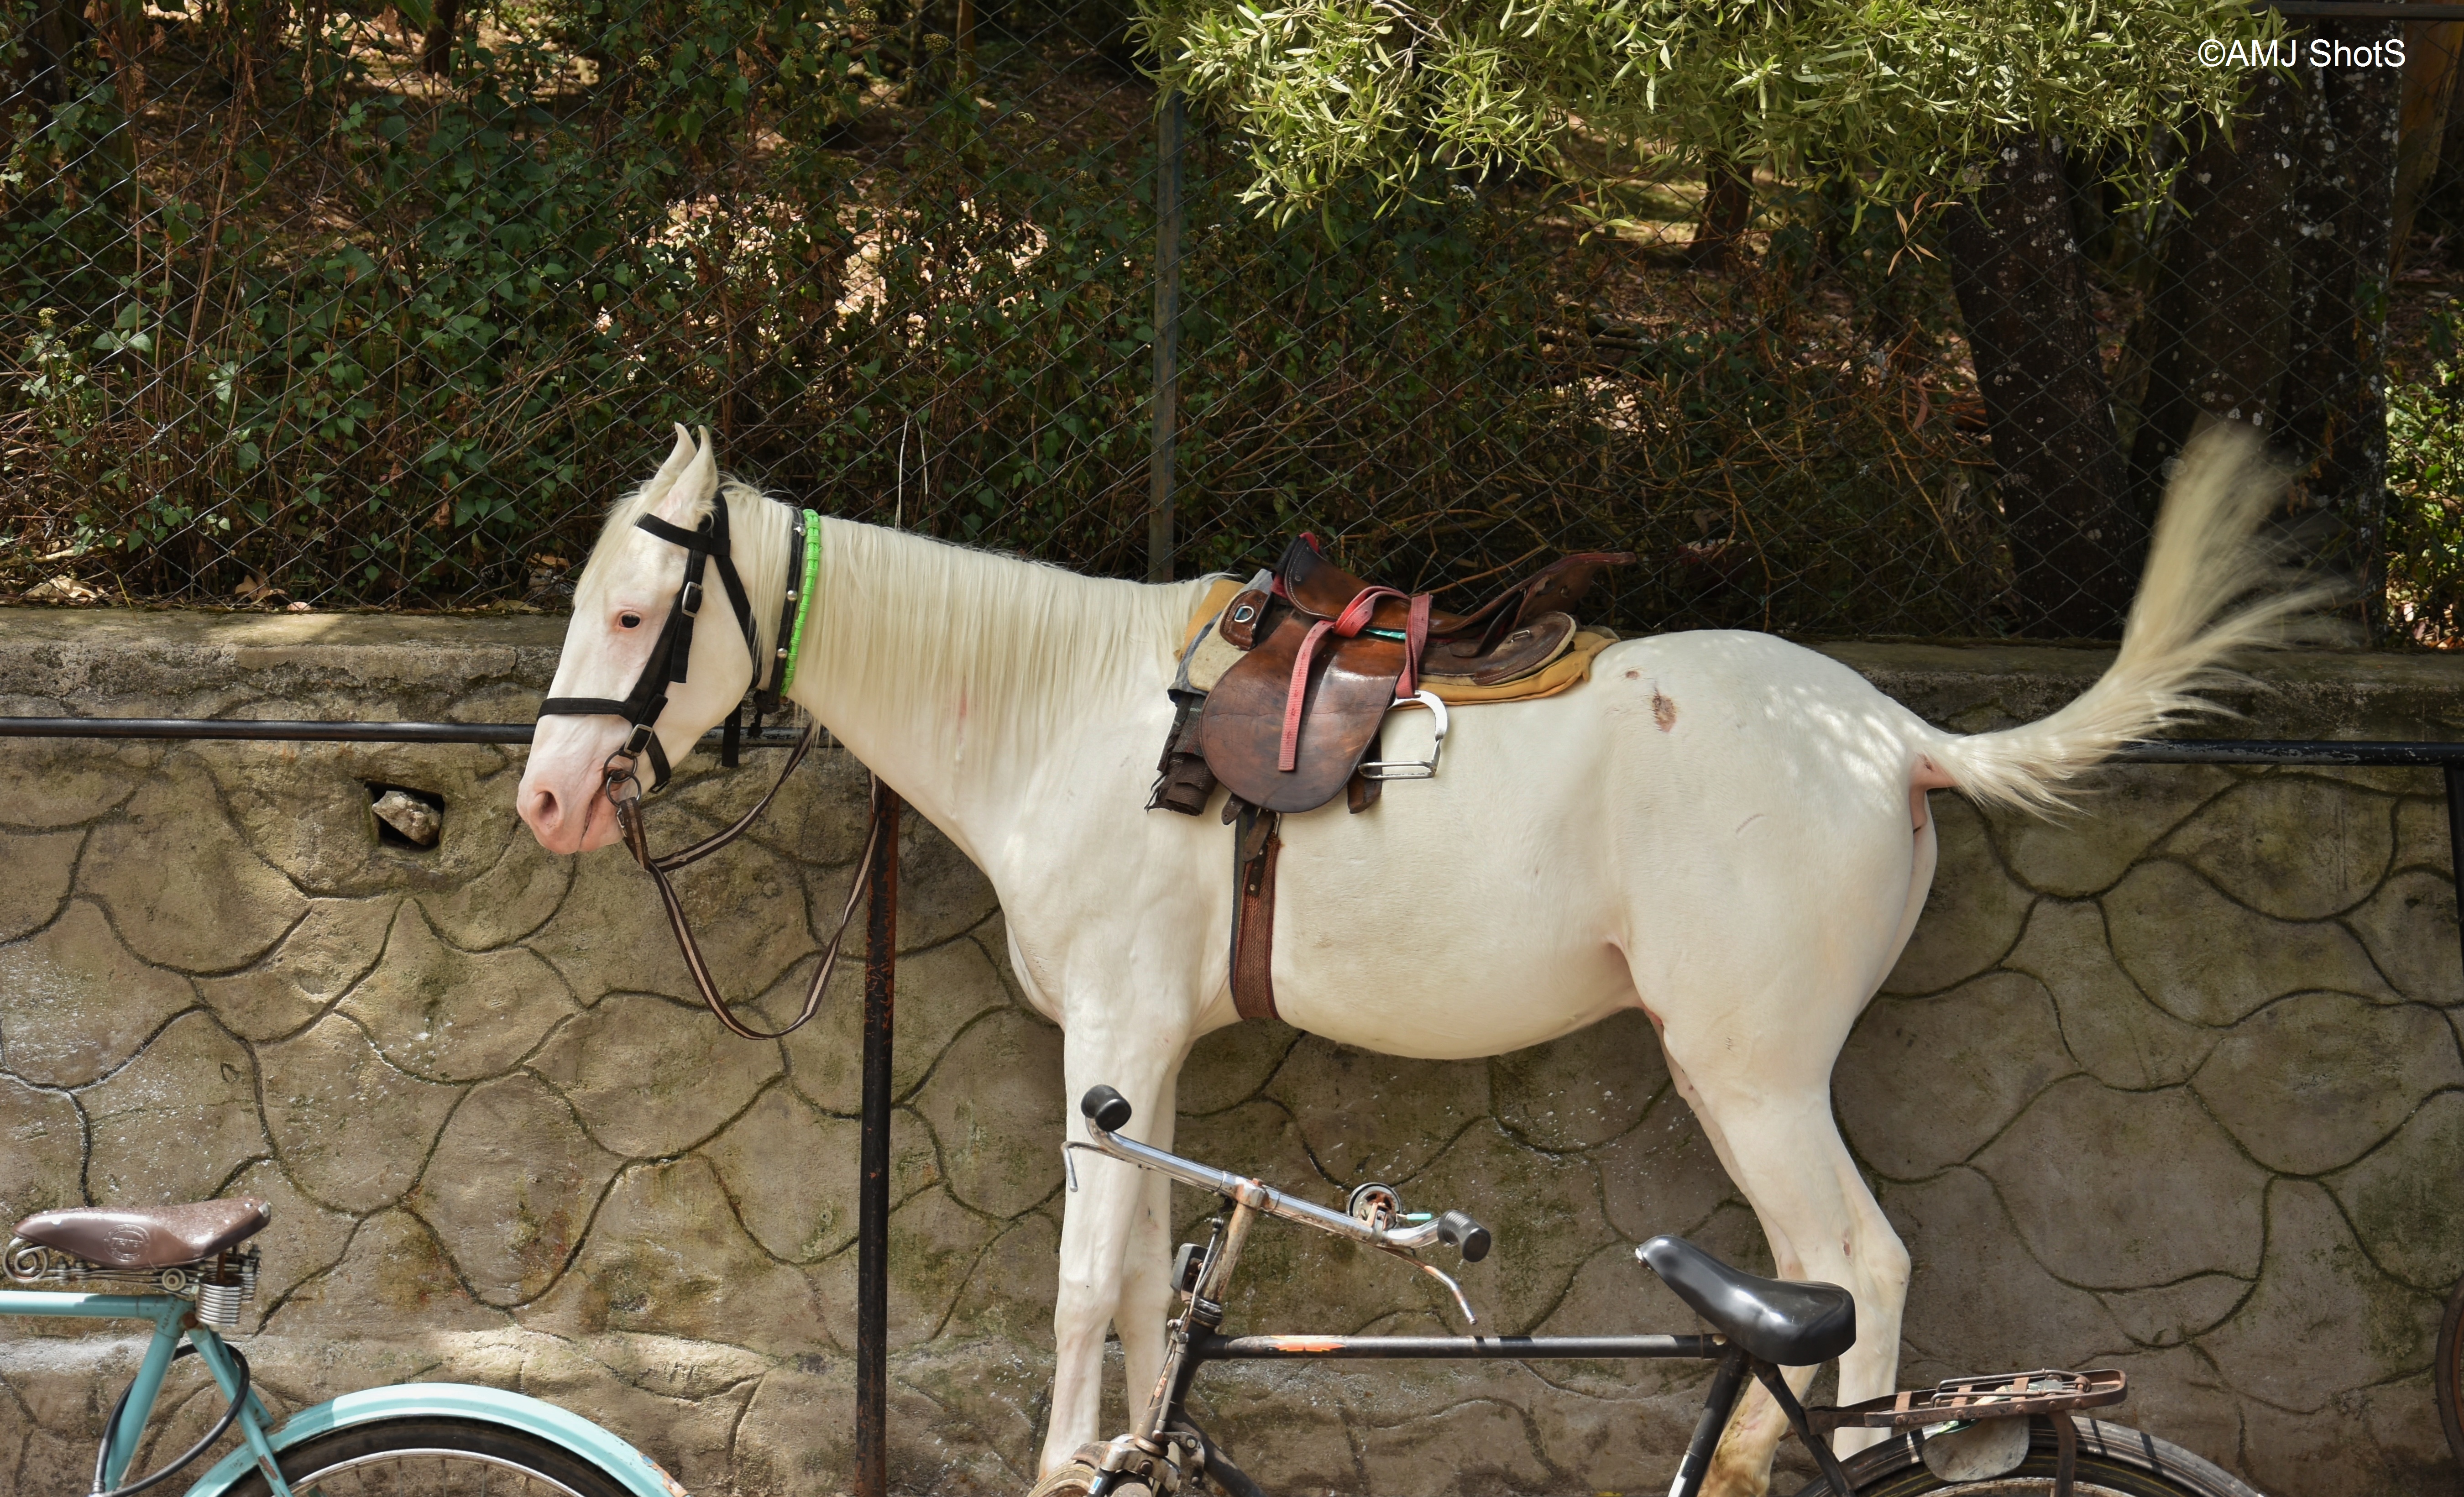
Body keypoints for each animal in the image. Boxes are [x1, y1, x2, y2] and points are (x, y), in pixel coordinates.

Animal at [516, 424, 2319, 1495]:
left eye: (636, 618)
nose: (545, 797)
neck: (1065, 712)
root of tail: (1893, 738)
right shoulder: (1145, 1065)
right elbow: (1145, 1284)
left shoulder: (1108, 1032)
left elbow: (1080, 1284)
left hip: (1750, 1069)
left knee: (1855, 1267)